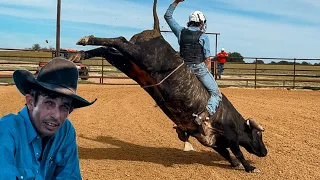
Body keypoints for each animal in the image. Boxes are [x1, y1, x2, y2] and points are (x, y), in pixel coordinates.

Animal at [70, 0, 268, 173]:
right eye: (259, 135)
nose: (265, 152)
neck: (229, 118)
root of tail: (157, 32)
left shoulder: (213, 141)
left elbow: (226, 153)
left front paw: (236, 164)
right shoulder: (230, 136)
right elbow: (238, 152)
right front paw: (250, 167)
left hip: (130, 65)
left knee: (108, 50)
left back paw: (80, 54)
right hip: (142, 56)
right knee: (120, 40)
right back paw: (86, 39)